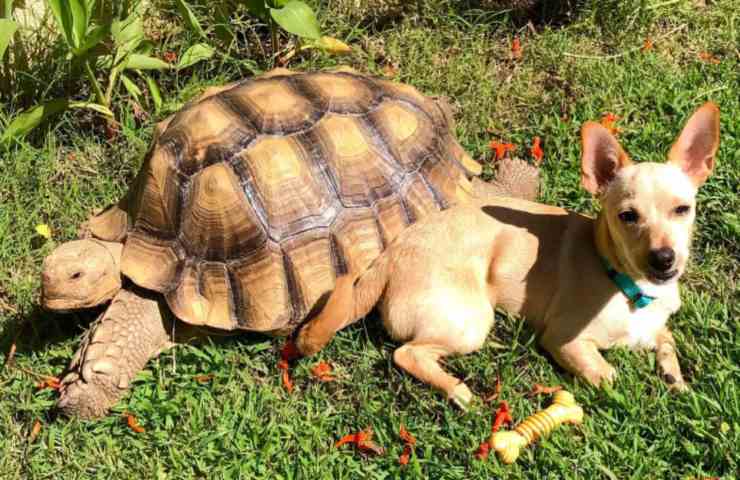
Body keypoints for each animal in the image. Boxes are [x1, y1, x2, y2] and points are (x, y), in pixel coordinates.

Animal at [298, 103, 720, 406]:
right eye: (627, 217)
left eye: (683, 210)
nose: (664, 259)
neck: (627, 285)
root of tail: (390, 254)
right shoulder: (565, 341)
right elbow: (607, 375)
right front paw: (636, 392)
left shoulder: (655, 326)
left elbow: (667, 341)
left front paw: (675, 379)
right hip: (469, 322)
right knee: (407, 354)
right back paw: (455, 389)